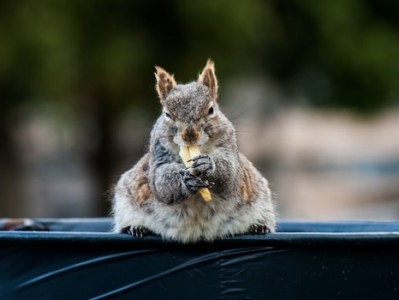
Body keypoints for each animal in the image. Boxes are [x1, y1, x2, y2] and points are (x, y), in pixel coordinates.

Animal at [111, 59, 276, 243]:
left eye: (211, 110)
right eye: (167, 114)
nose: (189, 135)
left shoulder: (229, 150)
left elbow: (230, 174)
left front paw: (208, 165)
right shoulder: (159, 158)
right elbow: (161, 181)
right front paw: (185, 181)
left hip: (262, 200)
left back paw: (259, 226)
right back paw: (135, 227)